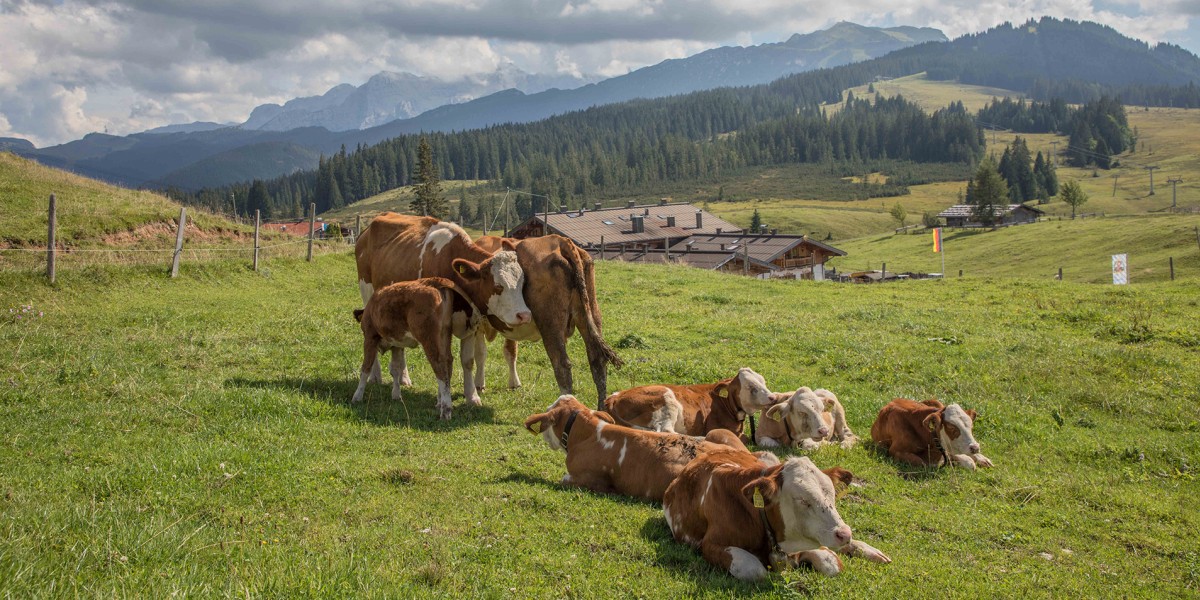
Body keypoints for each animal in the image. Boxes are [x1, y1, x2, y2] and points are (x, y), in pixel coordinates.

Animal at [350, 213, 530, 405]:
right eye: (498, 286)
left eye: (523, 283)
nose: (525, 315)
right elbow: (443, 361)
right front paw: (442, 398)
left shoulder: (471, 322)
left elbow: (468, 360)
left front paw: (471, 396)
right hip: (368, 295)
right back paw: (375, 376)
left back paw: (403, 378)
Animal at [350, 278, 480, 420]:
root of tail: (434, 282)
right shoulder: (397, 344)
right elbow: (395, 369)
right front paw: (396, 394)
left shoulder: (370, 337)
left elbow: (365, 368)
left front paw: (357, 396)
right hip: (444, 334)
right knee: (448, 363)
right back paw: (440, 403)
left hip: (428, 338)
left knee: (439, 366)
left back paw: (446, 410)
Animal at [604, 364, 772, 436]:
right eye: (751, 386)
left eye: (763, 381)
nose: (772, 397)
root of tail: (615, 397)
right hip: (666, 401)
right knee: (666, 431)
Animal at [657, 448, 892, 578]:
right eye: (802, 500)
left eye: (832, 496)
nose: (844, 533)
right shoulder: (710, 545)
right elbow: (754, 569)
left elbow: (831, 562)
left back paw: (870, 551)